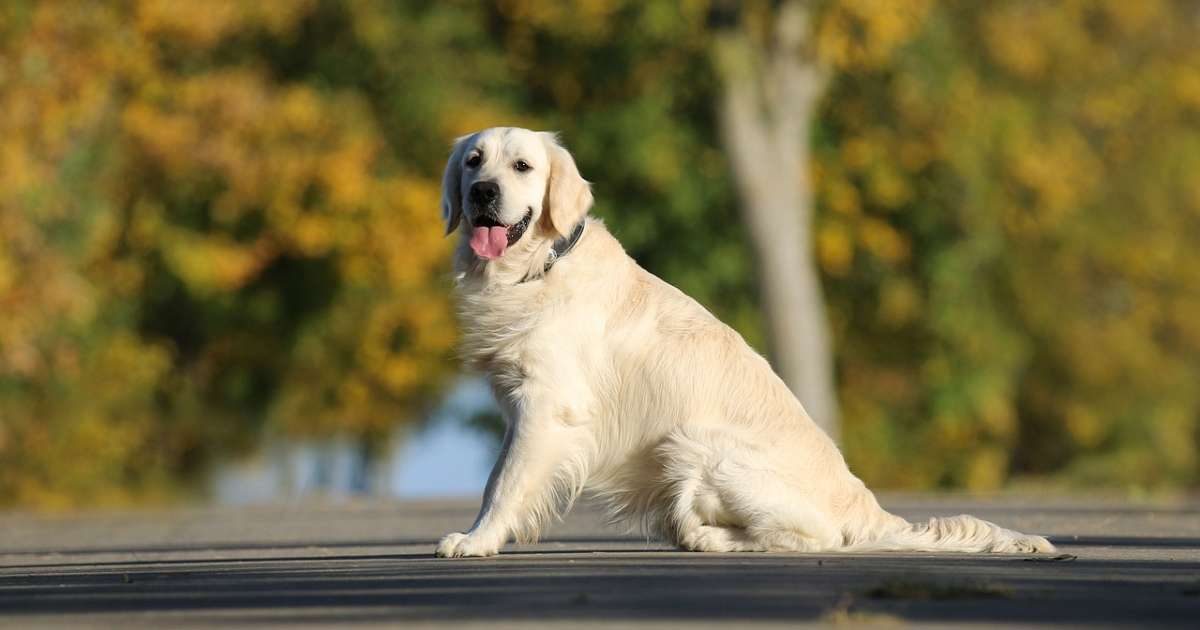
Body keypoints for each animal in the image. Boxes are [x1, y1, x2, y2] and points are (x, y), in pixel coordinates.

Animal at [432, 126, 1051, 554]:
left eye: (522, 166)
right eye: (473, 161)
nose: (483, 192)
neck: (539, 269)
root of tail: (867, 505)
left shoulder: (547, 405)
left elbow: (506, 483)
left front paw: (476, 541)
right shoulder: (521, 409)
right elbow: (496, 476)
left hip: (695, 446)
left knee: (815, 536)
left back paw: (706, 537)